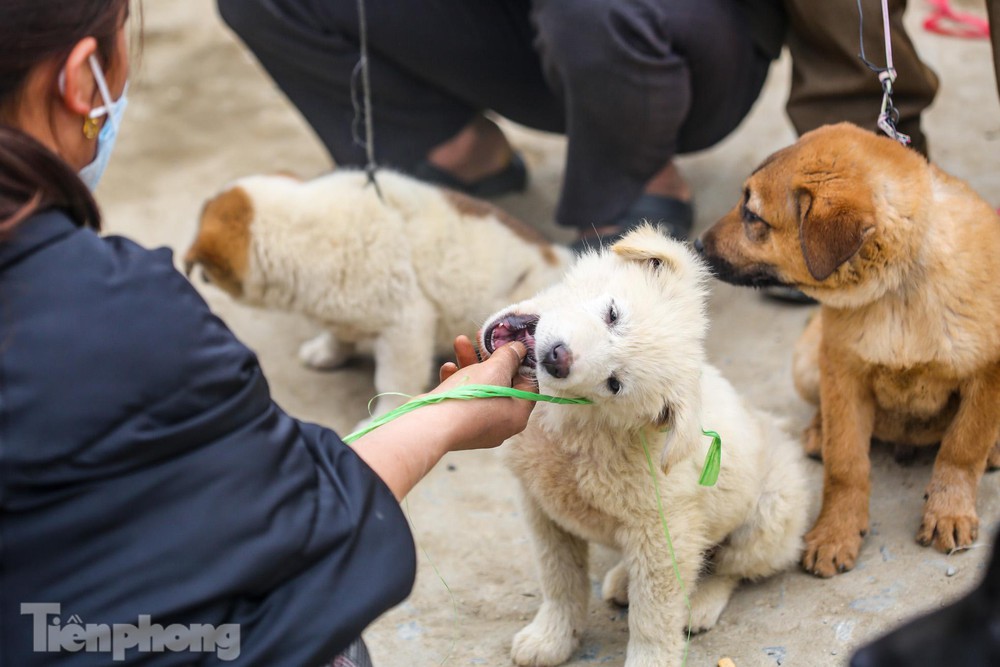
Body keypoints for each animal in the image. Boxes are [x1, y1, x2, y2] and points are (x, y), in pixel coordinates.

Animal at [696, 122, 1000, 576]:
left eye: (753, 216)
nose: (696, 245)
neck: (899, 287)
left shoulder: (986, 373)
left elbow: (961, 447)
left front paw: (949, 510)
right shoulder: (842, 371)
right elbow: (846, 464)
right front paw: (835, 532)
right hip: (808, 360)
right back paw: (818, 431)